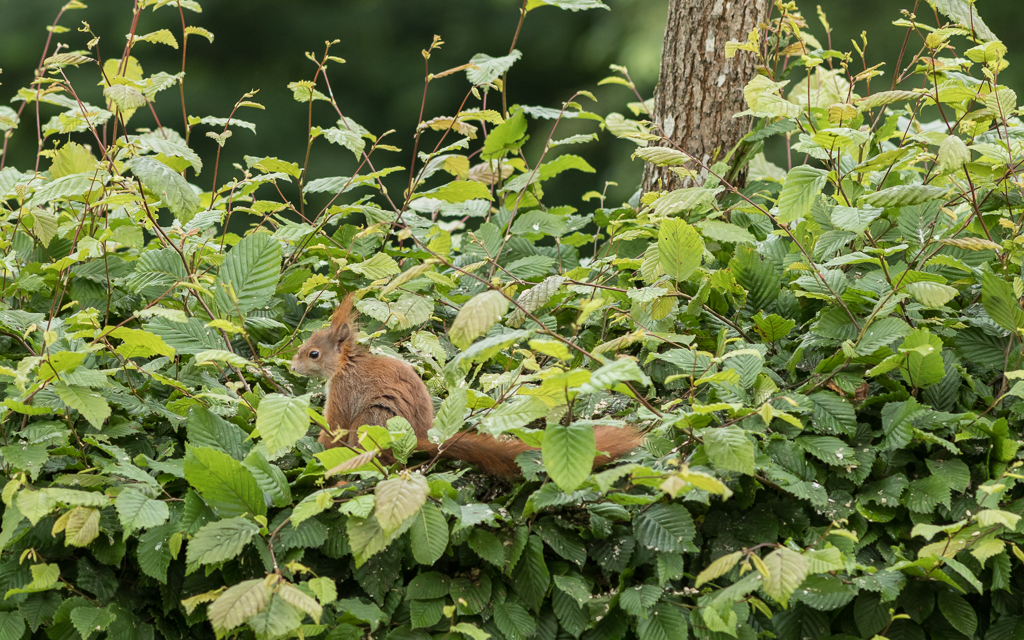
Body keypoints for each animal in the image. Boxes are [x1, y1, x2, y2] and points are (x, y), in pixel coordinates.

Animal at [288, 294, 638, 475]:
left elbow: (334, 425)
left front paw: (320, 442)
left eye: (313, 353)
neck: (346, 363)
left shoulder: (343, 391)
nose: (292, 366)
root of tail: (420, 439)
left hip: (373, 422)